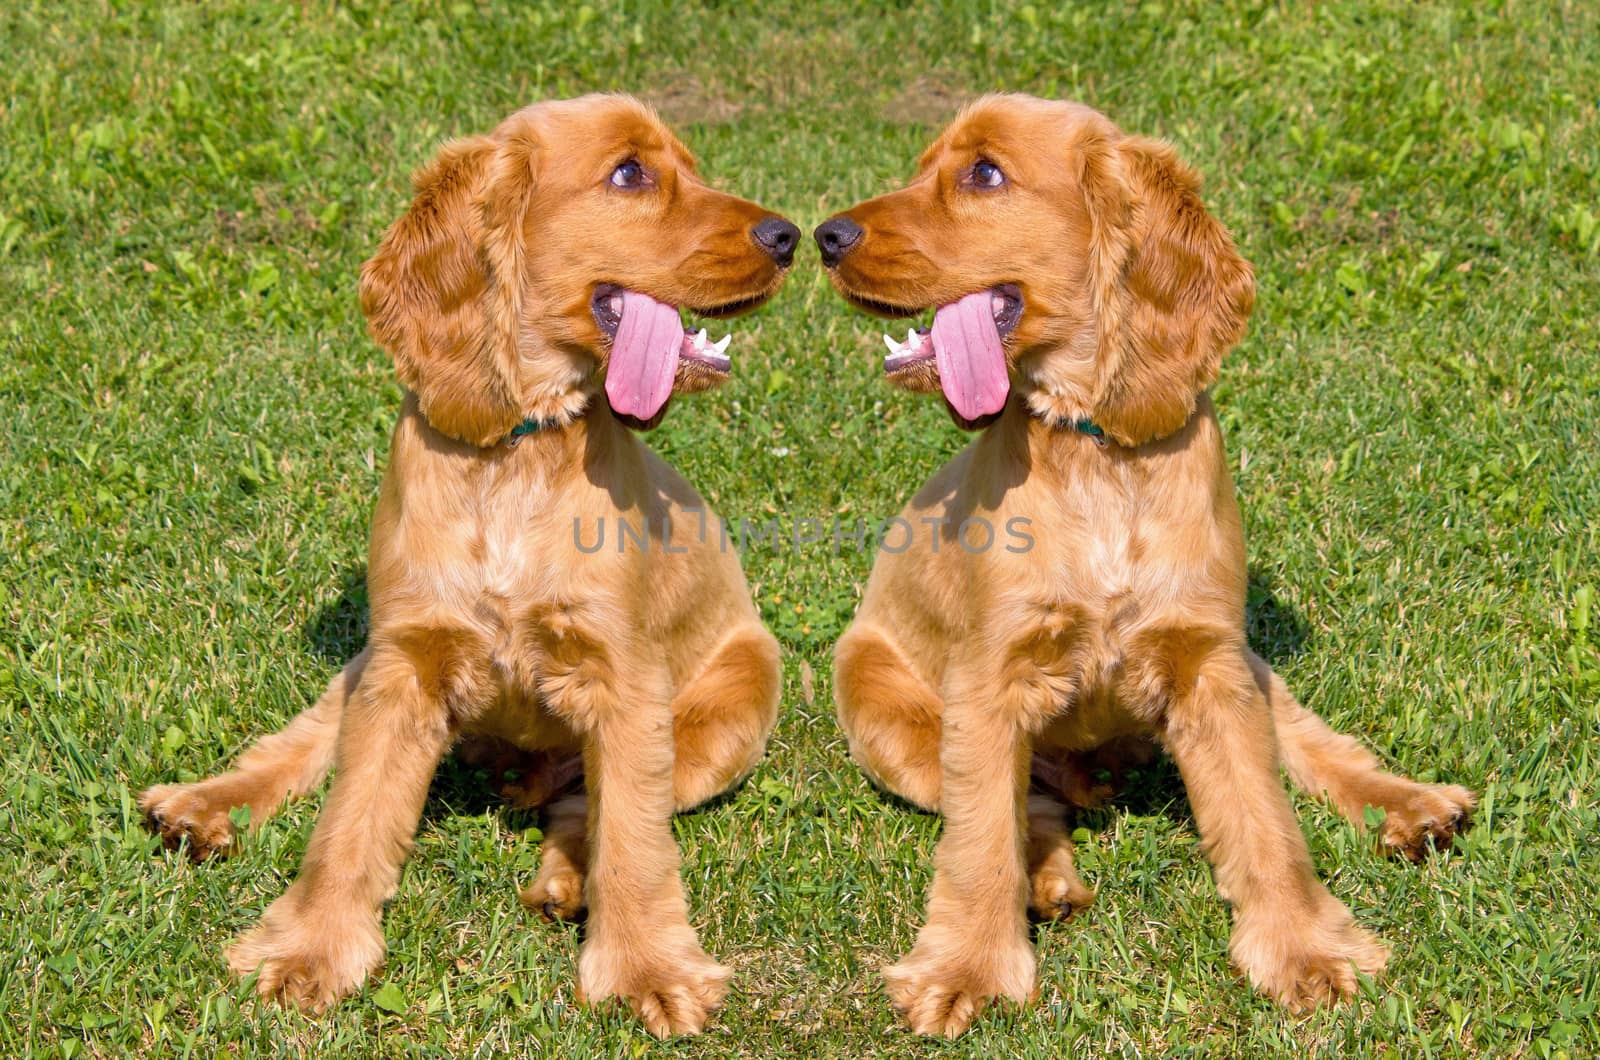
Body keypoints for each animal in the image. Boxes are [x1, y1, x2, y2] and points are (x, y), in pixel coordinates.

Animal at [137, 95, 793, 1043]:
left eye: (692, 167)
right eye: (631, 173)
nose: (788, 236)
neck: (514, 453)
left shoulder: (625, 678)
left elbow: (634, 838)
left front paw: (646, 970)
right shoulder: (404, 661)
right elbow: (350, 816)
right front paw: (309, 949)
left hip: (730, 712)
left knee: (594, 807)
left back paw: (565, 879)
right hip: (366, 661)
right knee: (308, 739)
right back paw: (202, 805)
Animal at [819, 95, 1465, 1043]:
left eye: (983, 174)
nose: (825, 235)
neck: (1100, 450)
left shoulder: (1209, 662)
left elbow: (1265, 818)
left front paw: (1305, 948)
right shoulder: (989, 678)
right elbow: (980, 840)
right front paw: (968, 969)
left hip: (1247, 661)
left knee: (1307, 740)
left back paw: (1412, 806)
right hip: (882, 711)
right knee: (1019, 806)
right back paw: (1048, 878)